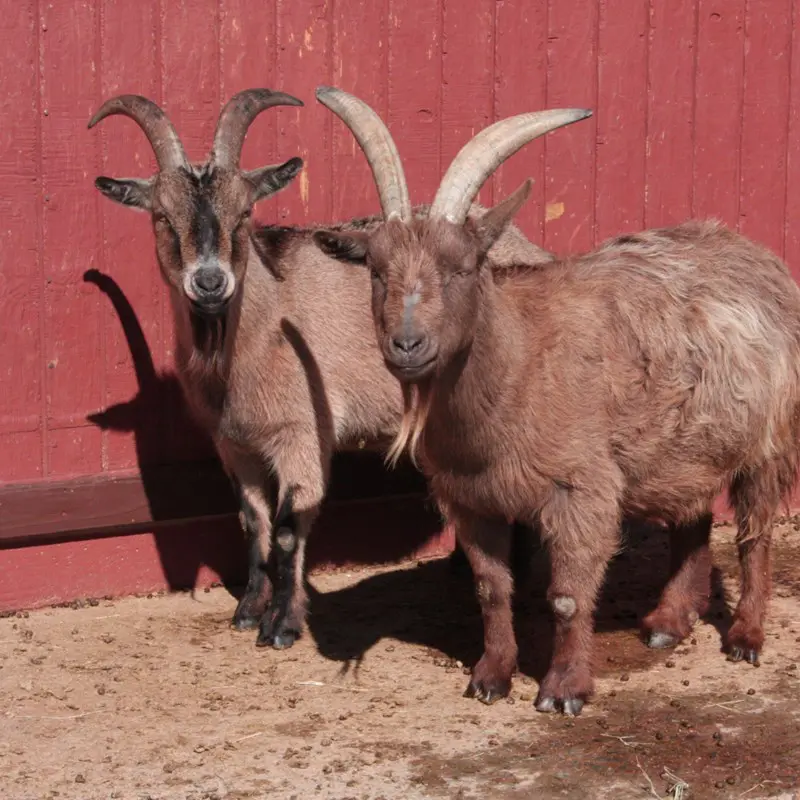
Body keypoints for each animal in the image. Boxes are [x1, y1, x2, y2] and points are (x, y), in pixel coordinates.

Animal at [88, 89, 552, 648]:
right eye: (160, 215)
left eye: (245, 213)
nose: (210, 282)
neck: (262, 324)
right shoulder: (234, 443)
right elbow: (253, 521)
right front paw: (248, 609)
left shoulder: (302, 434)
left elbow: (290, 527)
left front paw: (283, 625)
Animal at [314, 85, 800, 715]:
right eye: (374, 269)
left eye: (463, 266)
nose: (407, 344)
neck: (517, 370)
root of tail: (755, 253)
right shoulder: (471, 498)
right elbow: (490, 589)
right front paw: (491, 677)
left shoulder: (581, 489)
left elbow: (567, 595)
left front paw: (564, 689)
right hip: (682, 445)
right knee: (691, 516)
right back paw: (667, 622)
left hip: (768, 440)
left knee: (755, 534)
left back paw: (745, 636)